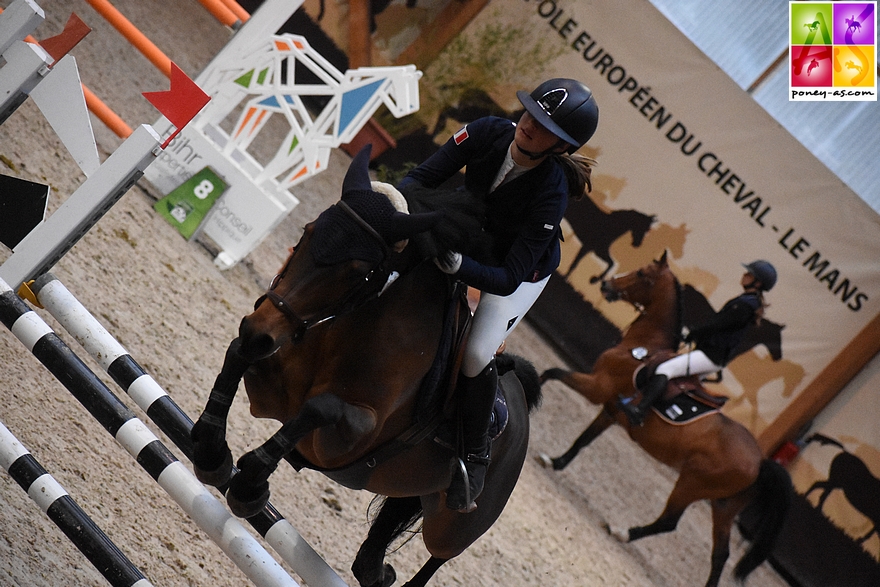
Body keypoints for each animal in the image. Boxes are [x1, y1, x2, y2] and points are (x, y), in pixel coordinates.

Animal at [188, 147, 540, 587]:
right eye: (307, 231)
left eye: (357, 271)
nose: (258, 331)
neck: (361, 323)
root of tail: (519, 400)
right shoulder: (270, 390)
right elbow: (238, 356)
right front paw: (211, 452)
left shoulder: (349, 438)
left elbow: (320, 407)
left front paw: (250, 485)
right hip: (410, 485)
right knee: (380, 540)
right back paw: (376, 570)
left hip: (455, 526)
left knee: (436, 558)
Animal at [540, 255, 796, 587]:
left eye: (642, 274)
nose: (607, 285)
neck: (643, 346)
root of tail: (761, 461)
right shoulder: (610, 410)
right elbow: (582, 440)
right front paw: (555, 462)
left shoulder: (597, 388)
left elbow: (551, 373)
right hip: (724, 506)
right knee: (720, 554)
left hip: (691, 483)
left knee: (669, 522)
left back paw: (622, 532)